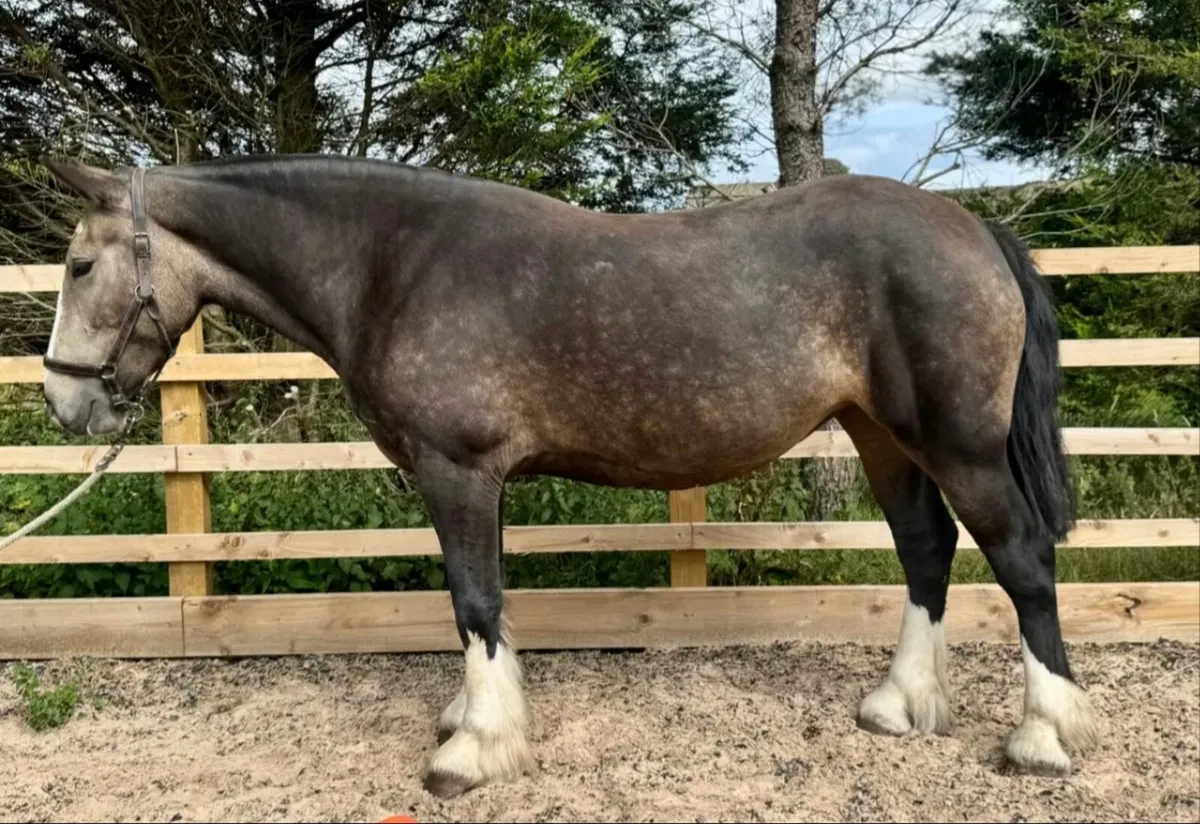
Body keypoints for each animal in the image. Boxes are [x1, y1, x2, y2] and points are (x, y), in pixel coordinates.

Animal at [39, 154, 1097, 797]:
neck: (390, 264)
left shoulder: (458, 470)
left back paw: (1044, 734)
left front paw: (472, 751)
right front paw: (474, 718)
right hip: (882, 435)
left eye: (81, 265)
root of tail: (974, 228)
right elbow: (485, 606)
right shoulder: (475, 480)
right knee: (926, 550)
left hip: (957, 444)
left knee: (1021, 558)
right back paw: (897, 707)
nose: (63, 403)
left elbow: (473, 600)